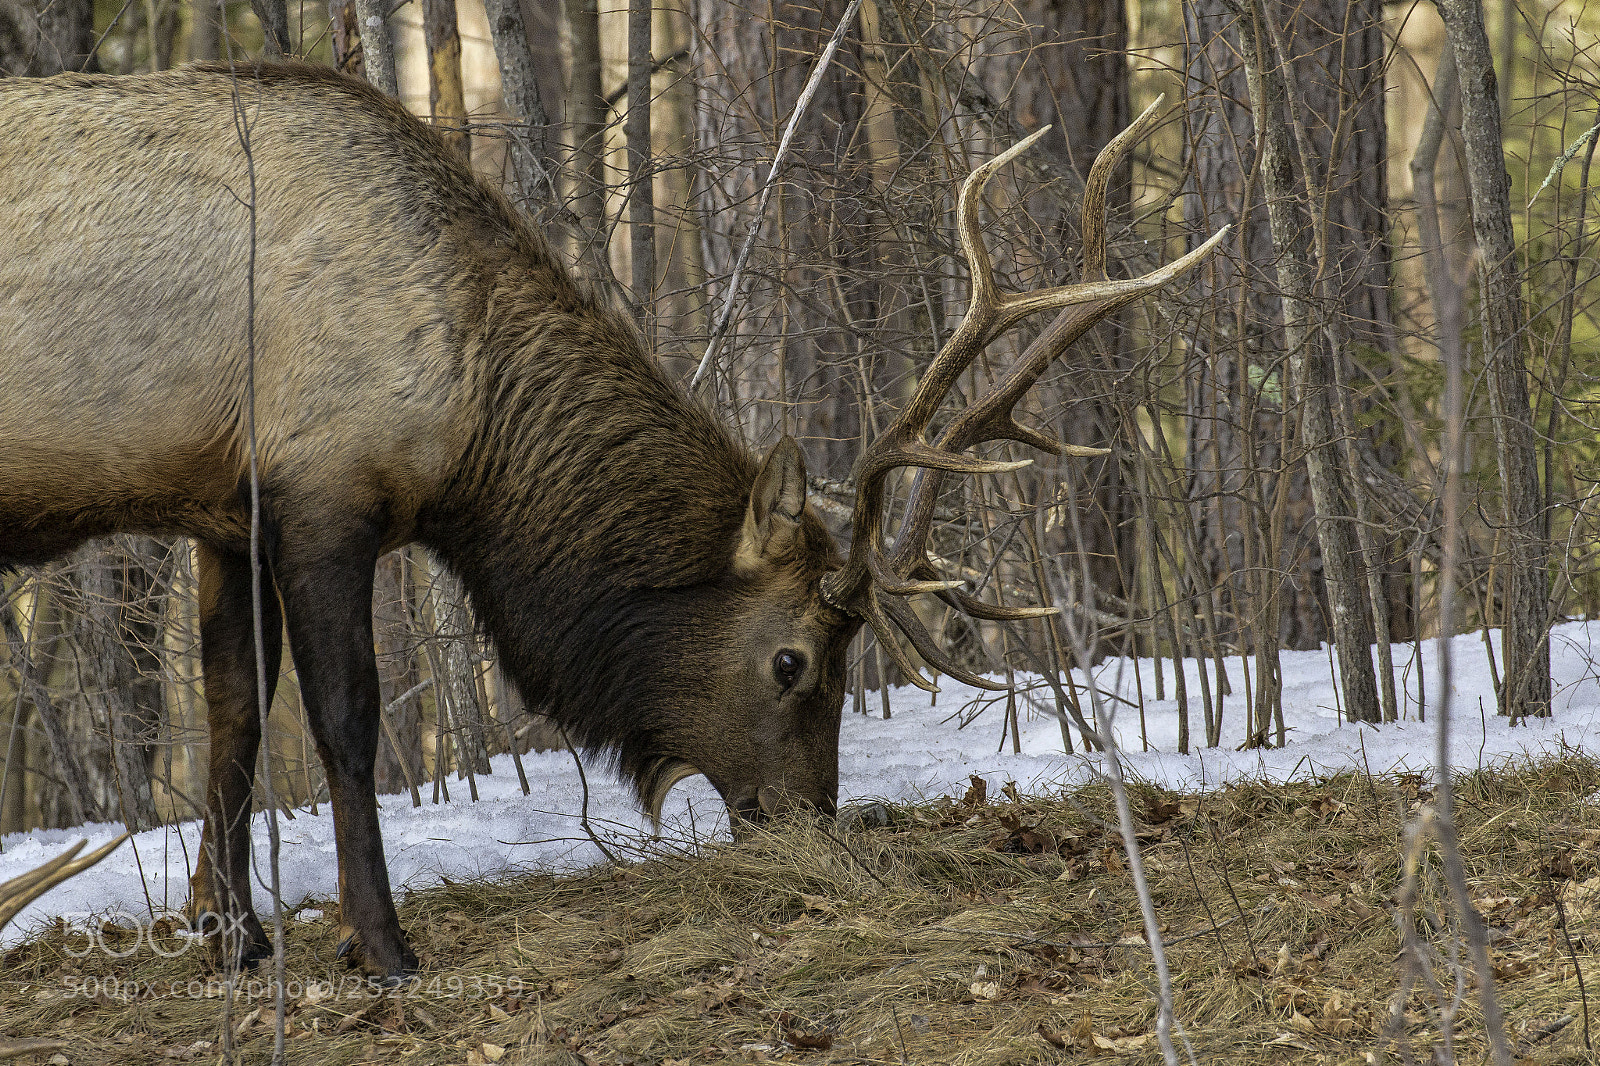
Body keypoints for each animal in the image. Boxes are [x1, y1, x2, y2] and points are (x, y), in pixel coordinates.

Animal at [0, 61, 1223, 980]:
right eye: (793, 660)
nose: (811, 822)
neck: (473, 426)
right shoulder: (323, 488)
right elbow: (345, 725)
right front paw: (380, 945)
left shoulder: (226, 511)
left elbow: (232, 719)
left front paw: (231, 936)